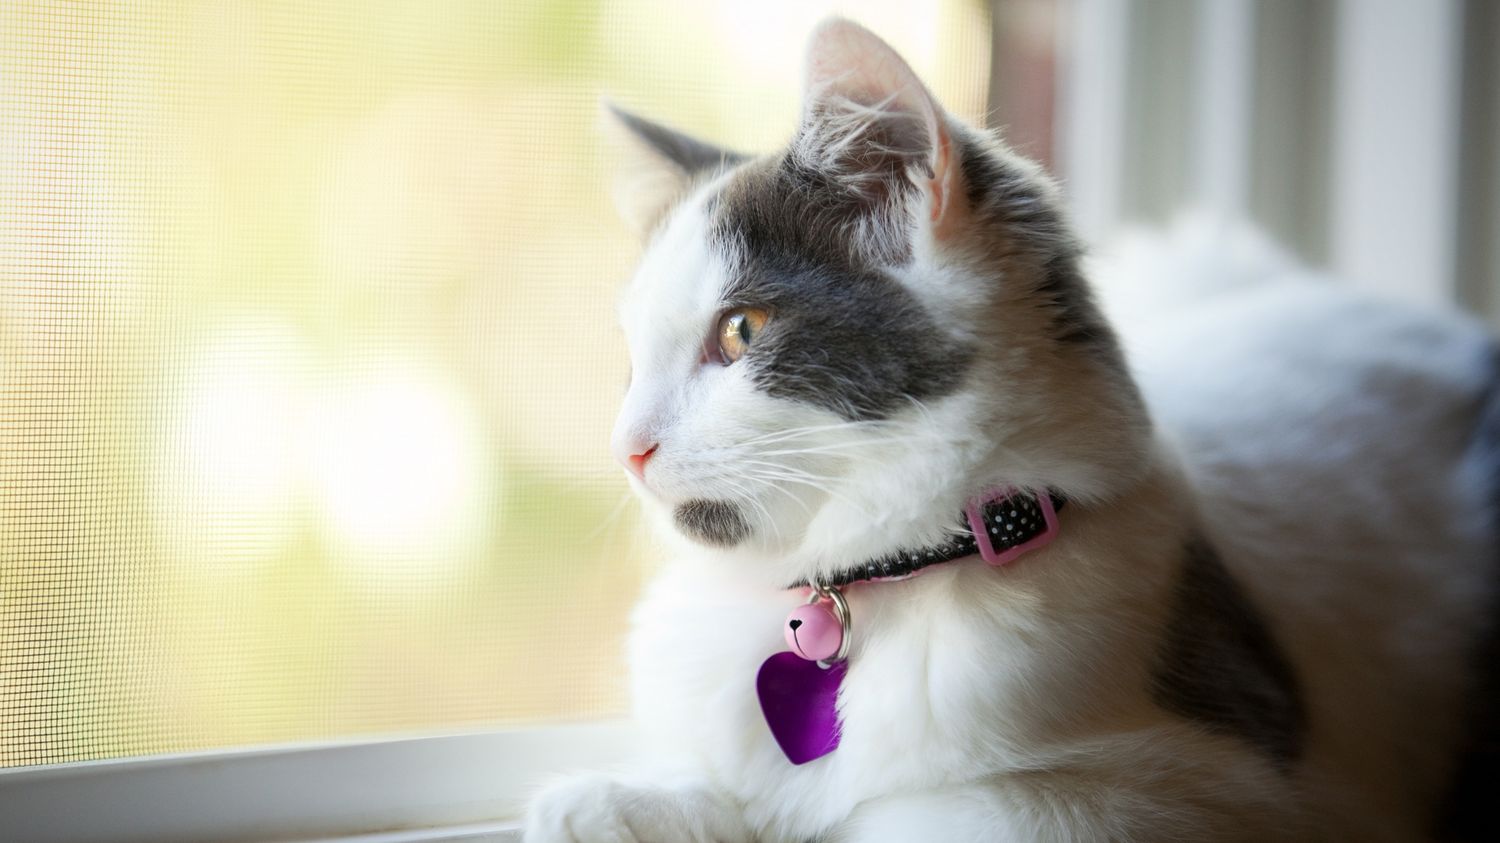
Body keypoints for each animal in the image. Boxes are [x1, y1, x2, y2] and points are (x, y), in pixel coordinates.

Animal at [522, 19, 1494, 840]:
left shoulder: (1232, 787)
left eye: (741, 331)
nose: (626, 448)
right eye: (631, 360)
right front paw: (625, 797)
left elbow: (922, 813)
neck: (881, 576)